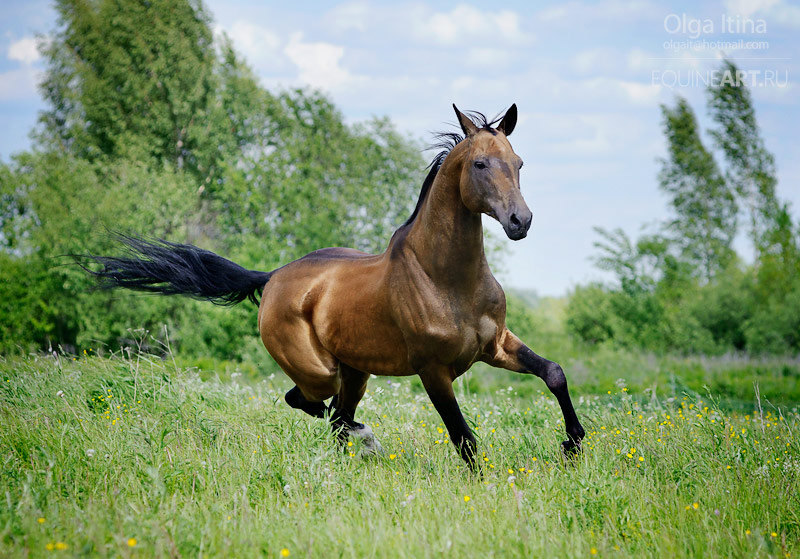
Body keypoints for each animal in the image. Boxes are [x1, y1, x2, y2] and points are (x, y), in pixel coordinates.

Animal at [86, 105, 588, 468]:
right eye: (481, 163)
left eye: (518, 162)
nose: (520, 221)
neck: (446, 279)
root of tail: (272, 278)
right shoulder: (433, 370)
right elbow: (463, 437)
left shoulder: (495, 345)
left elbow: (554, 373)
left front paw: (574, 445)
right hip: (321, 371)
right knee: (315, 407)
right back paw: (366, 439)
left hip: (355, 372)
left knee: (334, 415)